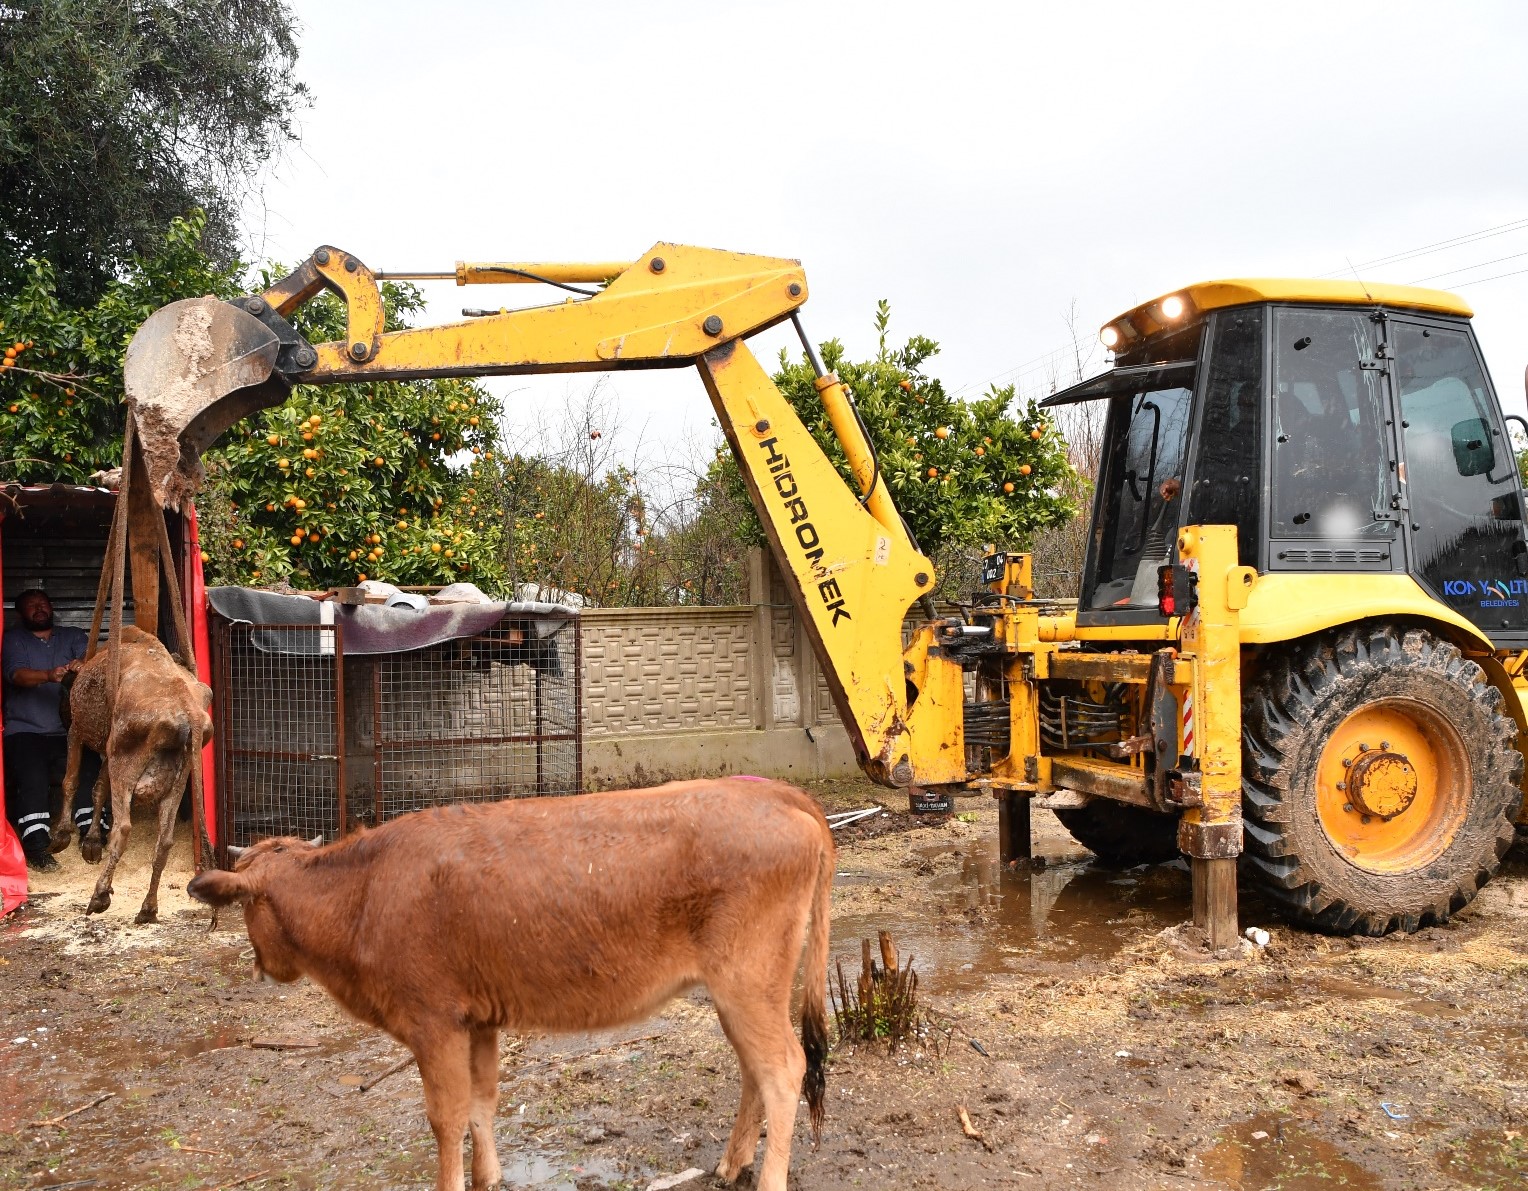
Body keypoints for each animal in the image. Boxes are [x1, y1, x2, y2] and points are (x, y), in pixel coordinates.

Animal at [50, 629, 213, 929]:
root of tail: (188, 710)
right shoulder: (107, 751)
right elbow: (98, 788)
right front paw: (91, 843)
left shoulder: (78, 733)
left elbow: (72, 780)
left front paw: (63, 835)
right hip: (176, 779)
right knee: (164, 840)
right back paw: (147, 909)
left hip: (124, 766)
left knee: (123, 828)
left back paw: (100, 895)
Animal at [189, 776, 837, 1191]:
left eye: (244, 907)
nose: (259, 966)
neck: (365, 892)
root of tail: (772, 790)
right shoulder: (477, 1020)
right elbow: (482, 1102)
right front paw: (489, 1176)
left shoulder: (434, 1024)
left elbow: (446, 1117)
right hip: (741, 994)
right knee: (755, 1070)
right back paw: (731, 1165)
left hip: (748, 983)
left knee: (784, 1069)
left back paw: (766, 1178)